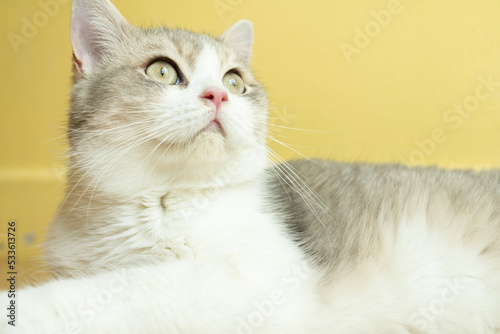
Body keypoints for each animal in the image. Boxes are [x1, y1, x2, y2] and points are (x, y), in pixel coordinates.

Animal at [3, 0, 500, 332]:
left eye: (235, 81)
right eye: (162, 71)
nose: (218, 94)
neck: (159, 198)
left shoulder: (251, 277)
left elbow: (116, 291)